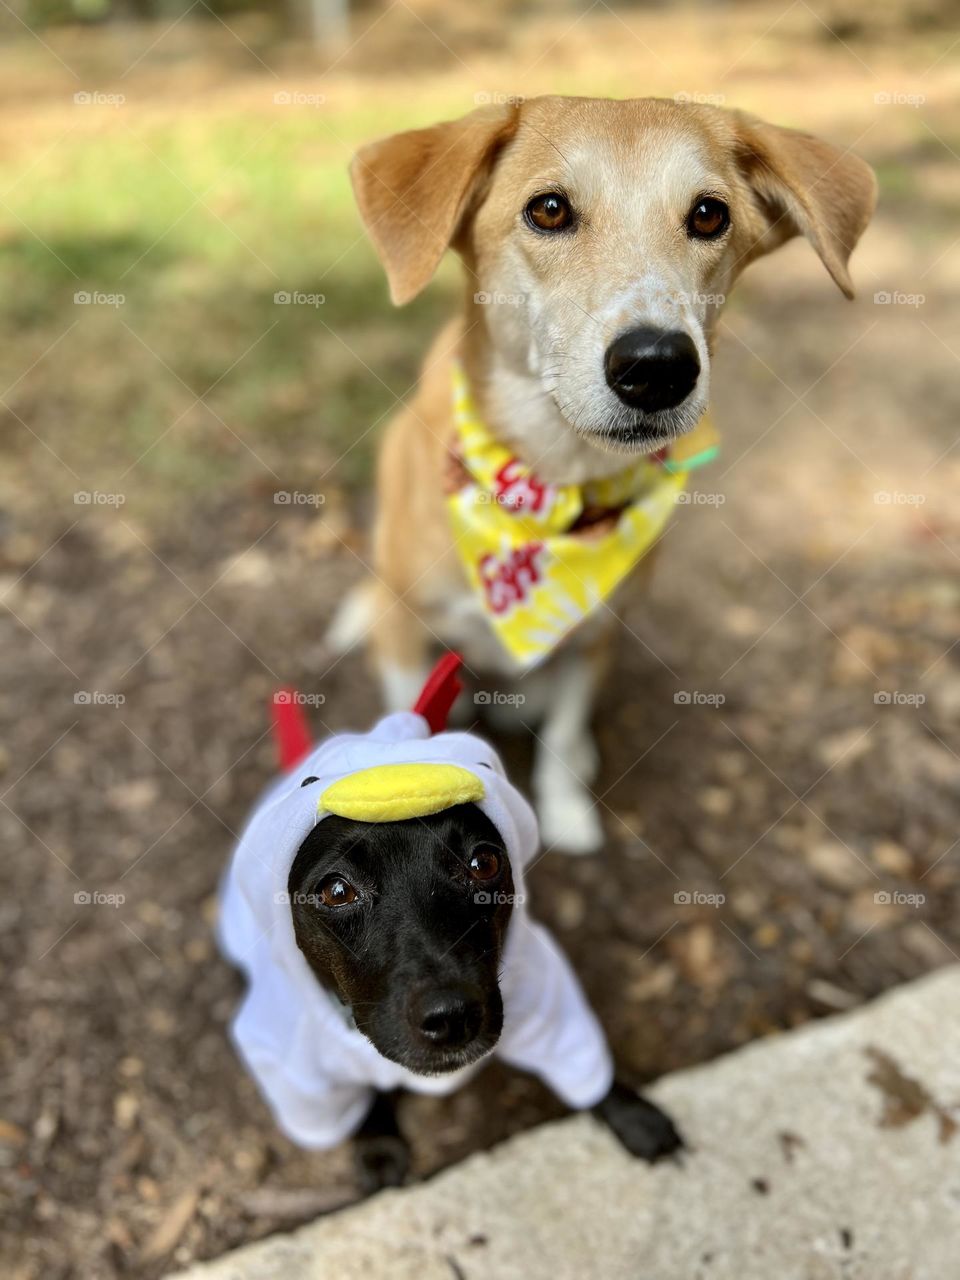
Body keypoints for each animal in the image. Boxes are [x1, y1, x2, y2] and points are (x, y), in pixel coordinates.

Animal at [288, 798, 686, 1187]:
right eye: (337, 892)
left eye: (483, 863)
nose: (451, 1016)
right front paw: (379, 1148)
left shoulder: (547, 999)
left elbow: (582, 1062)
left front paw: (634, 1117)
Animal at [343, 94, 875, 855]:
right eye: (549, 209)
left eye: (708, 215)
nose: (657, 366)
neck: (551, 488)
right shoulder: (404, 632)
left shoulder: (594, 638)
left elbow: (564, 741)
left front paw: (567, 816)